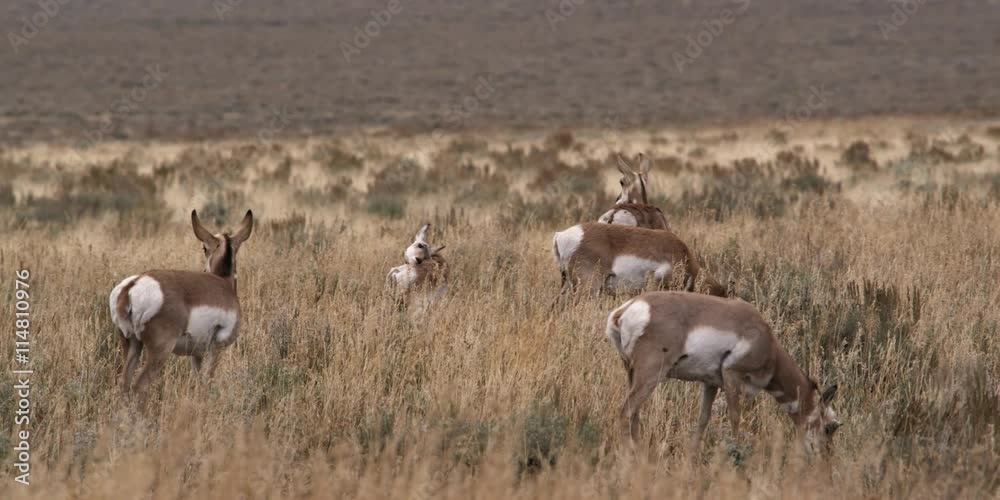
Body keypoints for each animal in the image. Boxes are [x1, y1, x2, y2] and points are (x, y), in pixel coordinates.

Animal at [109, 210, 253, 400]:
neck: (222, 282)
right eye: (204, 248)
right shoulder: (216, 349)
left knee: (124, 384)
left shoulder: (197, 354)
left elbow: (199, 384)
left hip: (131, 344)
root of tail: (132, 286)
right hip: (160, 351)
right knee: (140, 386)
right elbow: (207, 383)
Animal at [606, 291, 842, 455]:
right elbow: (736, 418)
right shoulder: (732, 377)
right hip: (650, 375)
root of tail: (626, 309)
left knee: (634, 414)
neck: (768, 344)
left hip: (632, 373)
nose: (825, 459)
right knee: (626, 411)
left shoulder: (710, 384)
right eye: (830, 427)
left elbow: (703, 419)